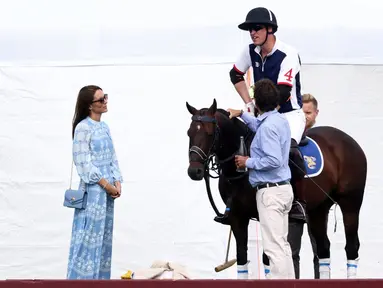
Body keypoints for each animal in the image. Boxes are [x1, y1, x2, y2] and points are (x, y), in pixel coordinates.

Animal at [188, 98, 368, 280]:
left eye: (209, 133)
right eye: (189, 133)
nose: (194, 172)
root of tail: (350, 140)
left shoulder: (264, 215)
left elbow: (268, 259)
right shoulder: (238, 218)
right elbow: (242, 259)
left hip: (351, 202)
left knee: (352, 246)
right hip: (319, 208)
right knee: (323, 248)